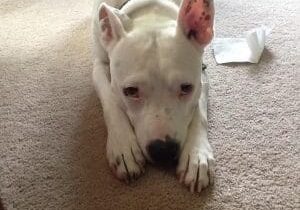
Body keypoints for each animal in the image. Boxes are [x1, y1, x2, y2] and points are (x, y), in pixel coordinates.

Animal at [92, 0, 214, 193]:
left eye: (187, 88)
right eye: (130, 91)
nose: (164, 151)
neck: (150, 13)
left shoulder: (201, 74)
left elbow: (199, 111)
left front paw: (196, 155)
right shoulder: (99, 65)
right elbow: (110, 100)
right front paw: (123, 146)